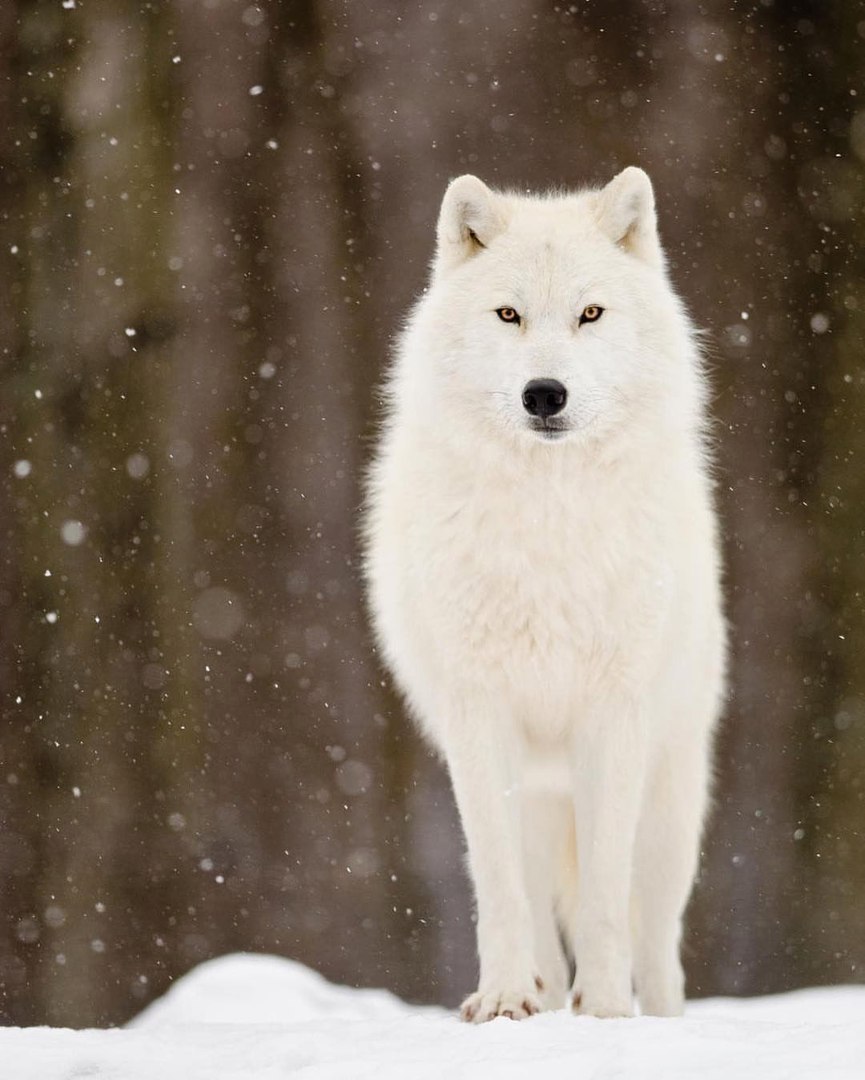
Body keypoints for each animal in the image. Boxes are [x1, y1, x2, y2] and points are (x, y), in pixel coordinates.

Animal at [363, 168, 725, 1022]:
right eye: (509, 314)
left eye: (590, 313)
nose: (544, 394)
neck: (547, 529)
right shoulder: (479, 718)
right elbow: (500, 891)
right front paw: (502, 999)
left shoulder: (614, 718)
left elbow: (602, 898)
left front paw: (606, 1011)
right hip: (530, 796)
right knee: (535, 911)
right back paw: (540, 998)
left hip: (670, 807)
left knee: (659, 941)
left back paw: (655, 1017)